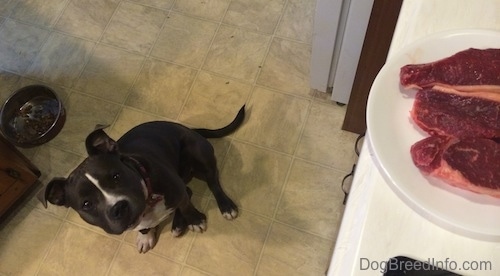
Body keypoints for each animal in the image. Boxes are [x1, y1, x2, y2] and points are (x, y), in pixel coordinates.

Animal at [37, 106, 244, 253]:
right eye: (86, 204)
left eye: (116, 175)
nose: (118, 207)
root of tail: (190, 129)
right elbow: (143, 227)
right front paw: (146, 236)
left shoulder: (175, 188)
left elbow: (186, 206)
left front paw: (194, 220)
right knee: (189, 190)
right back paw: (177, 224)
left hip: (197, 152)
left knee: (212, 181)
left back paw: (225, 207)